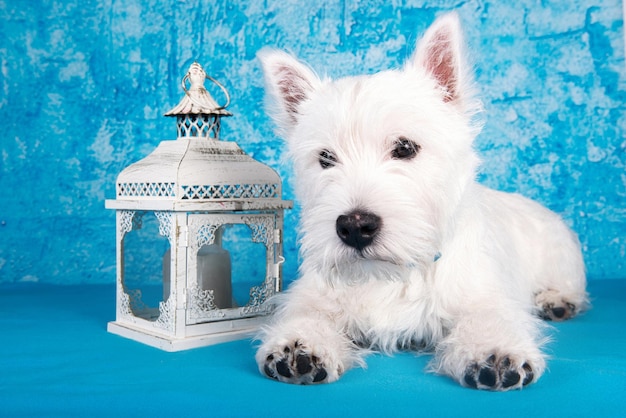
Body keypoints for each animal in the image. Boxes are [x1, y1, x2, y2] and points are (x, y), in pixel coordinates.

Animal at [254, 13, 584, 392]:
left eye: (405, 147)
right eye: (325, 158)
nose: (354, 226)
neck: (395, 273)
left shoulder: (484, 292)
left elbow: (490, 315)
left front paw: (494, 351)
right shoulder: (315, 292)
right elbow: (306, 311)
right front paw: (298, 344)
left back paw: (557, 301)